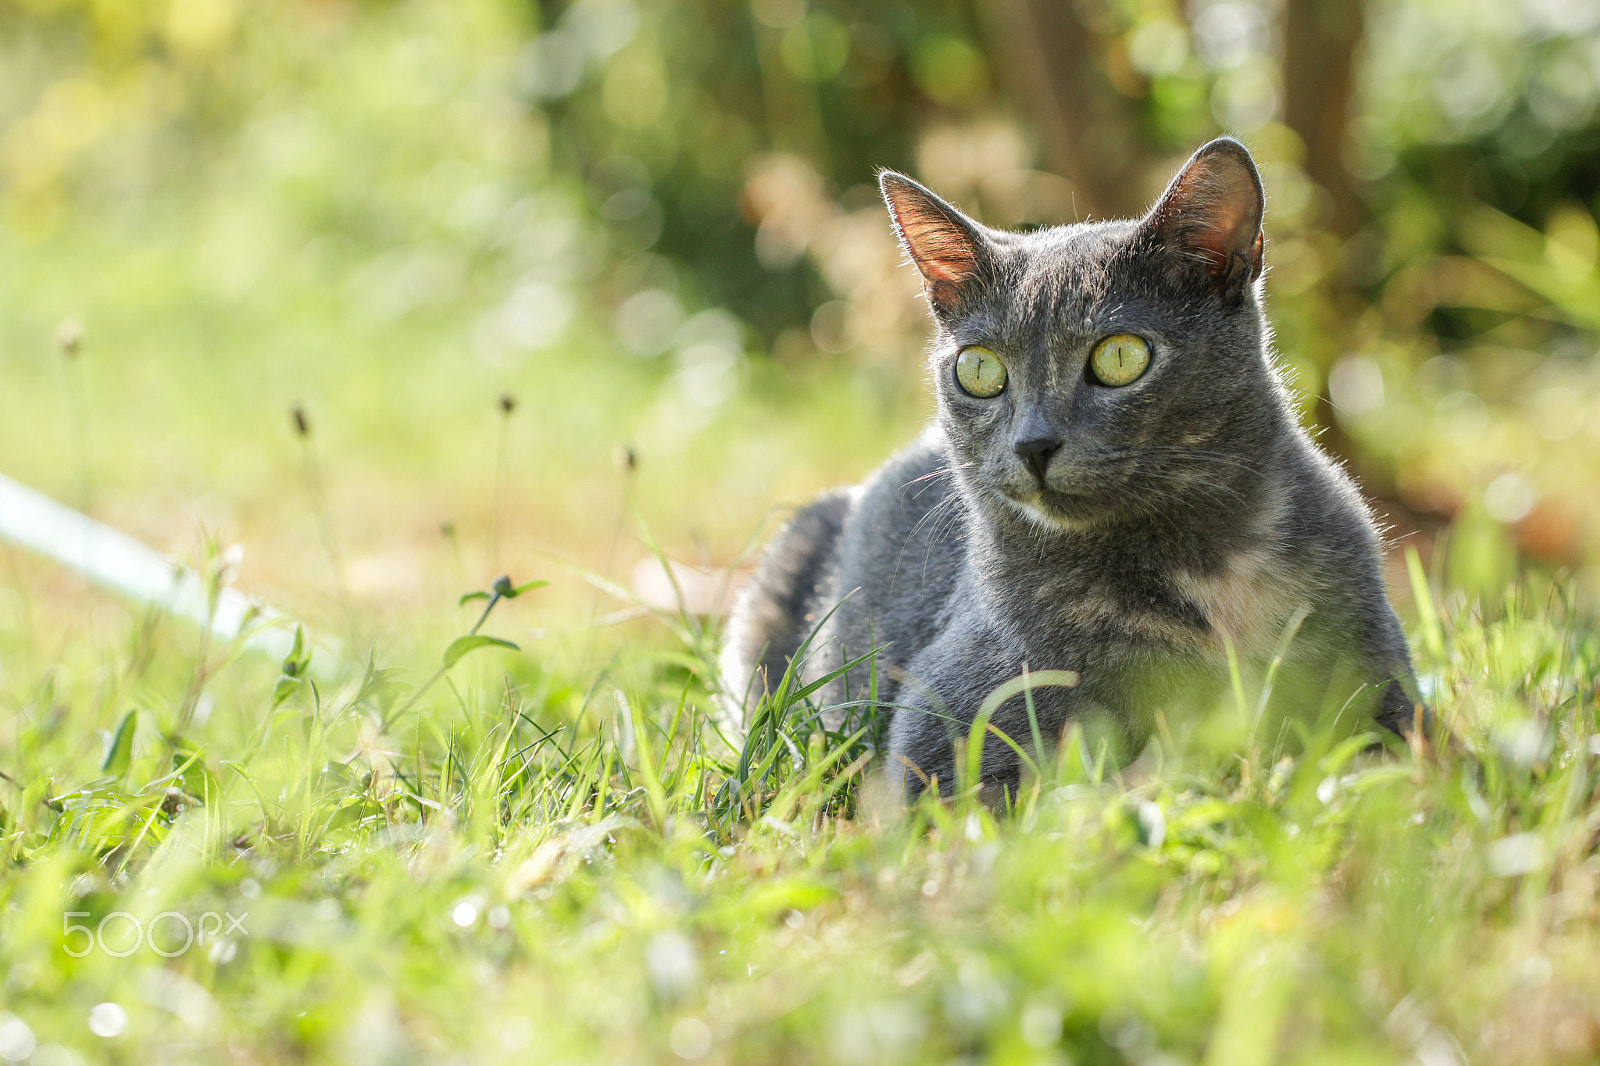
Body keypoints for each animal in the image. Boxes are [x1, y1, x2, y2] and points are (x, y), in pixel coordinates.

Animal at [720, 136, 1420, 793]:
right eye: (979, 369)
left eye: (1121, 356)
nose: (1034, 444)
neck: (1201, 563)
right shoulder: (945, 727)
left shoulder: (1376, 669)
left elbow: (1397, 755)